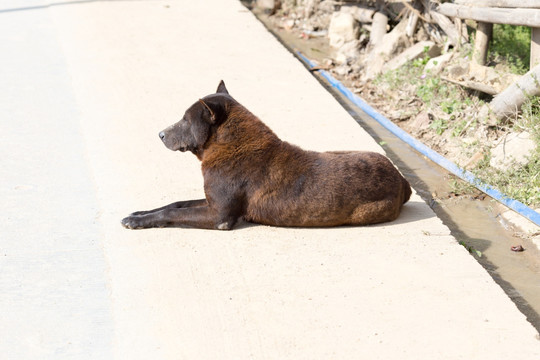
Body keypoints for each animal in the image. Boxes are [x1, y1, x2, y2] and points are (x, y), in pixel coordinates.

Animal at [121, 80, 410, 229]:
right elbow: (174, 205)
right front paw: (139, 214)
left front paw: (138, 221)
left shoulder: (218, 216)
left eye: (184, 120)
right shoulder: (210, 201)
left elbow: (172, 213)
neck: (230, 145)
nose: (160, 134)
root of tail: (401, 179)